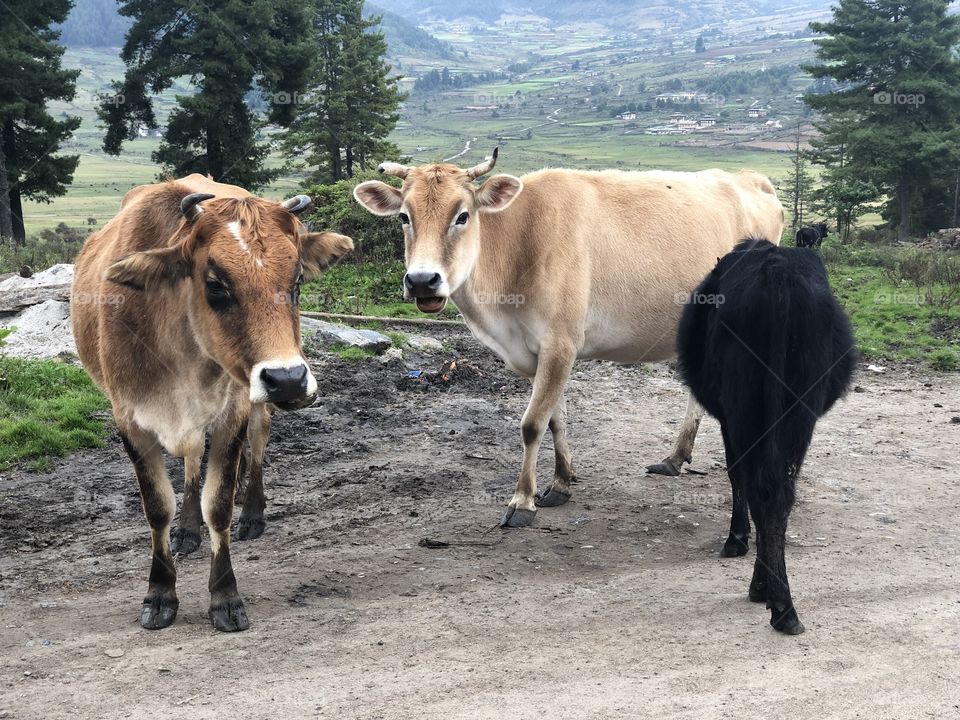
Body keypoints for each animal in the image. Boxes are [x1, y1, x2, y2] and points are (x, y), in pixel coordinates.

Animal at [71, 174, 353, 631]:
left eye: (297, 282)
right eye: (216, 284)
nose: (288, 380)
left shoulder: (231, 413)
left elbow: (218, 506)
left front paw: (225, 597)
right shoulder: (130, 420)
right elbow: (158, 508)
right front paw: (160, 593)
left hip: (253, 403)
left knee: (257, 440)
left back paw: (252, 513)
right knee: (190, 462)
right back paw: (188, 529)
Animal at [353, 150, 784, 539]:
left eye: (462, 215)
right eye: (404, 217)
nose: (422, 281)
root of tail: (751, 179)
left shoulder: (561, 342)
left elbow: (531, 424)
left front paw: (521, 502)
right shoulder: (536, 353)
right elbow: (554, 419)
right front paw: (561, 482)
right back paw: (675, 457)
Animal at [677, 238, 855, 633]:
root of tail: (776, 268)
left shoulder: (728, 420)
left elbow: (735, 475)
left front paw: (736, 540)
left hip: (743, 409)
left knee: (760, 487)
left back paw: (769, 594)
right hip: (798, 413)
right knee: (779, 495)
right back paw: (783, 605)